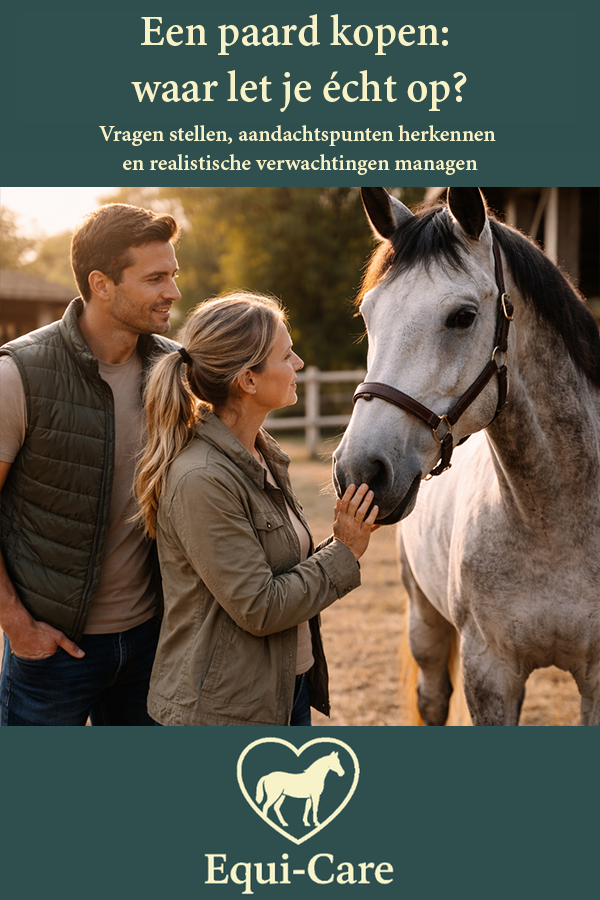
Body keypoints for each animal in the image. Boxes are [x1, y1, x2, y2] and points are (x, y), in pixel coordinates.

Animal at [333, 187, 600, 726]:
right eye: (368, 315)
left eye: (462, 316)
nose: (359, 471)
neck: (554, 519)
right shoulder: (489, 671)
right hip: (424, 620)